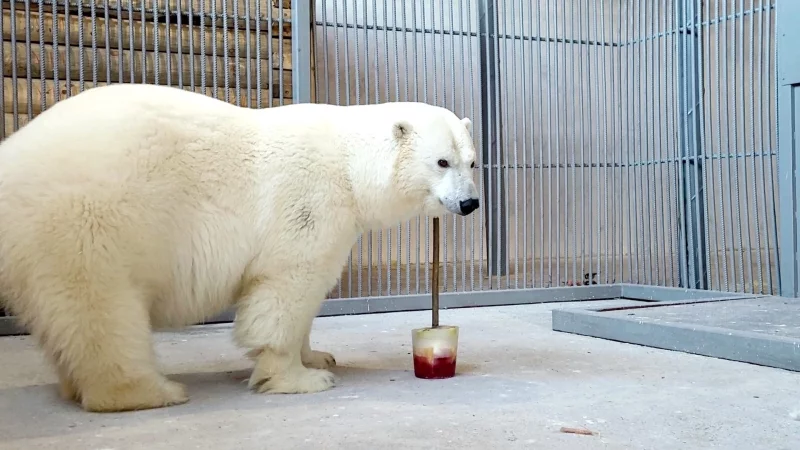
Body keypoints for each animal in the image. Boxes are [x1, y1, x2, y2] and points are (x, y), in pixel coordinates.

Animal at [0, 83, 478, 412]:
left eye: (471, 161)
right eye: (441, 161)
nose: (469, 203)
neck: (348, 163)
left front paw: (318, 357)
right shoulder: (308, 202)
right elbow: (287, 287)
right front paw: (299, 379)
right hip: (87, 223)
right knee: (103, 310)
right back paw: (152, 390)